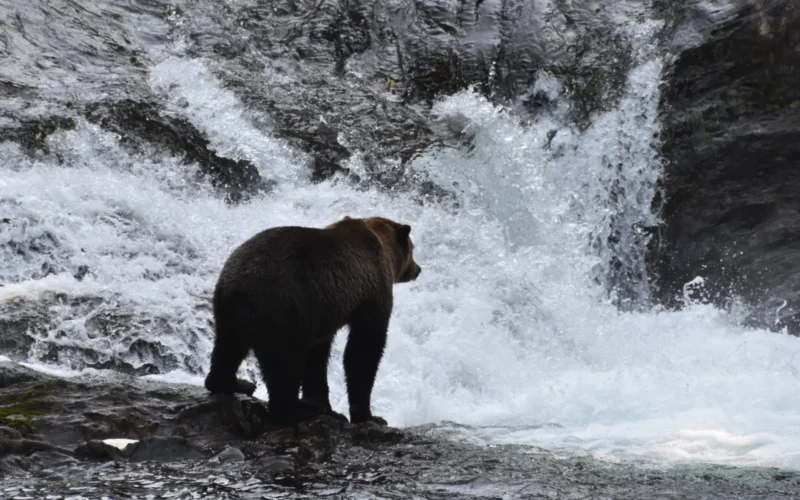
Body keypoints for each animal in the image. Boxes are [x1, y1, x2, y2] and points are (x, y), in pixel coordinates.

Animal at [204, 216, 421, 426]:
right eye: (413, 249)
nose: (418, 269)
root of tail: (240, 288)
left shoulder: (322, 312)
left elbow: (318, 357)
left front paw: (324, 404)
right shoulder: (371, 293)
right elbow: (364, 349)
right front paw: (369, 416)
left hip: (228, 311)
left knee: (228, 349)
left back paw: (235, 383)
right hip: (282, 311)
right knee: (285, 365)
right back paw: (297, 410)